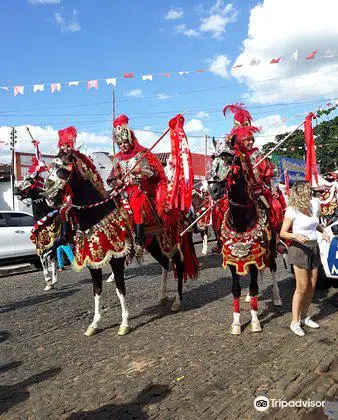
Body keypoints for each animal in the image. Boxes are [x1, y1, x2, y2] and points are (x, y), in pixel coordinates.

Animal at [43, 149, 199, 336]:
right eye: (51, 167)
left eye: (63, 170)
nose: (49, 197)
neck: (98, 214)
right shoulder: (93, 261)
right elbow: (96, 290)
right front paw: (94, 324)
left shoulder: (116, 259)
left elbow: (120, 289)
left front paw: (124, 323)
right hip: (154, 245)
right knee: (164, 264)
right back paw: (163, 296)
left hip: (171, 243)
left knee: (179, 265)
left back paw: (177, 301)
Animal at [209, 141, 282, 334]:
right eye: (212, 158)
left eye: (230, 159)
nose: (213, 190)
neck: (241, 221)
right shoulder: (233, 261)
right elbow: (236, 289)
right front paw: (235, 323)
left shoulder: (256, 258)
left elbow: (255, 286)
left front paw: (255, 322)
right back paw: (249, 297)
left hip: (271, 248)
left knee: (273, 268)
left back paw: (277, 297)